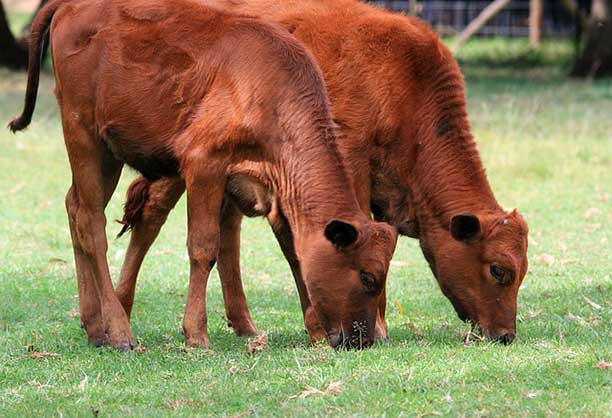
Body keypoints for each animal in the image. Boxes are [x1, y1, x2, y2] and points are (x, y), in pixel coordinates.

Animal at [11, 0, 400, 350]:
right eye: (367, 276)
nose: (362, 340)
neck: (269, 87)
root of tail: (71, 5)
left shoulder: (272, 190)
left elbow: (293, 251)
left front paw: (316, 330)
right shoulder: (203, 164)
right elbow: (203, 247)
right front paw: (196, 334)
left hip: (108, 151)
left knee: (75, 208)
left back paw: (95, 328)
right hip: (84, 136)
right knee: (92, 224)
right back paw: (119, 332)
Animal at [117, 0, 528, 342]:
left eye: (521, 273)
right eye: (498, 270)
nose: (506, 334)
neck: (406, 81)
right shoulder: (352, 165)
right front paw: (378, 328)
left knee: (226, 233)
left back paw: (245, 325)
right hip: (179, 167)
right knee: (152, 217)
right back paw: (121, 309)